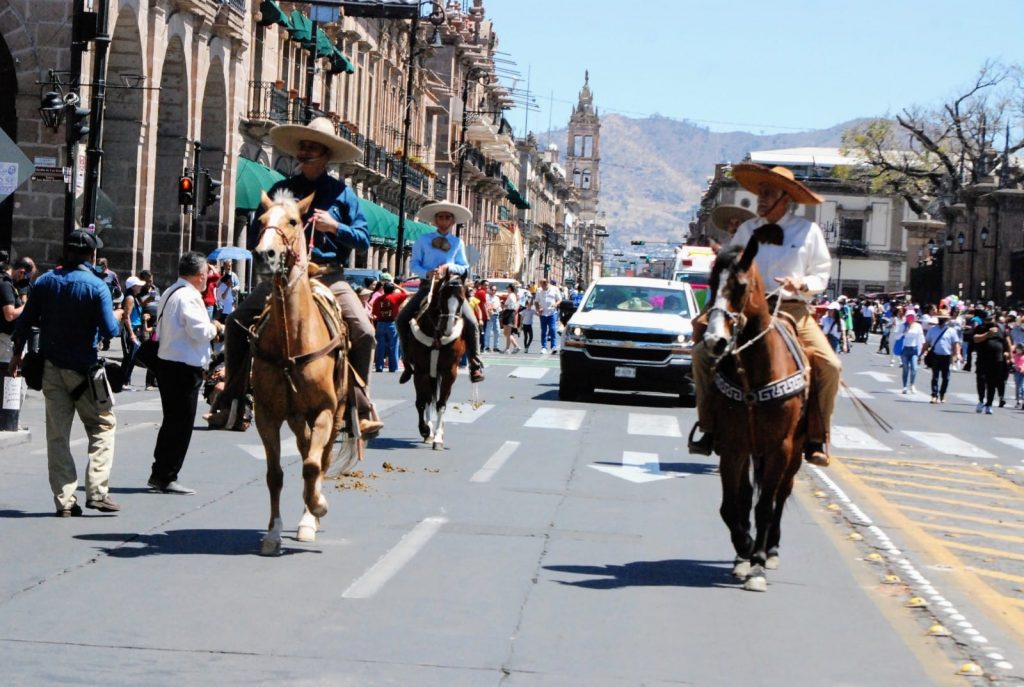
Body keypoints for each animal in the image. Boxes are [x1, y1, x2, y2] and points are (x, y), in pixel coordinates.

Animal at [250, 189, 357, 556]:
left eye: (294, 221)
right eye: (260, 220)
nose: (264, 255)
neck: (290, 341)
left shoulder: (325, 409)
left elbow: (313, 465)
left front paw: (316, 509)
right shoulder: (266, 414)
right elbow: (274, 474)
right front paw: (272, 533)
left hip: (336, 413)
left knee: (320, 458)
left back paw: (312, 512)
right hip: (296, 417)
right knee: (304, 446)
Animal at [407, 273, 467, 450]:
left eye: (462, 299)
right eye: (442, 296)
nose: (448, 329)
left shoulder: (449, 372)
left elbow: (441, 404)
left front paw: (438, 438)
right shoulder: (420, 370)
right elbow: (421, 402)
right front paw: (425, 430)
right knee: (427, 399)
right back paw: (428, 431)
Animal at [701, 239, 809, 592]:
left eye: (741, 286)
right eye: (711, 283)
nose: (715, 341)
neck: (753, 375)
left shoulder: (780, 448)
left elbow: (765, 507)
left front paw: (758, 563)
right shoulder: (733, 446)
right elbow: (732, 505)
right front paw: (744, 549)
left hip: (795, 452)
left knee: (780, 496)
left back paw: (771, 549)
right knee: (749, 496)